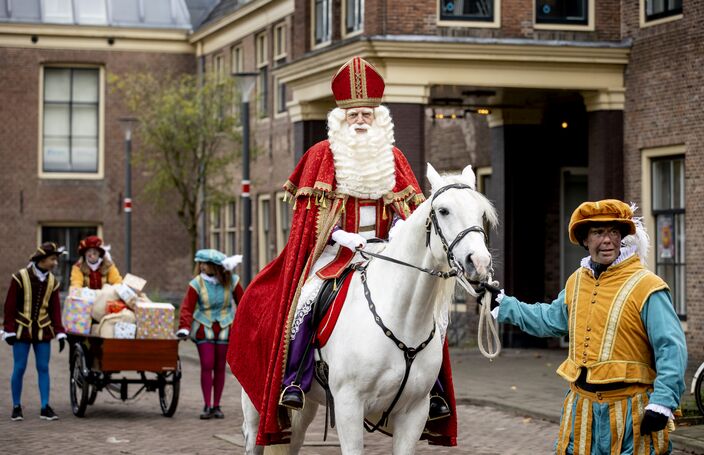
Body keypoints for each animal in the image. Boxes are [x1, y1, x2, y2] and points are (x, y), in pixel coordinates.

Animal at [245, 165, 498, 455]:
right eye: (443, 210)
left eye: (481, 212)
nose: (479, 262)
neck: (401, 318)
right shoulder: (348, 406)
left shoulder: (414, 412)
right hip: (256, 408)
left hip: (305, 408)